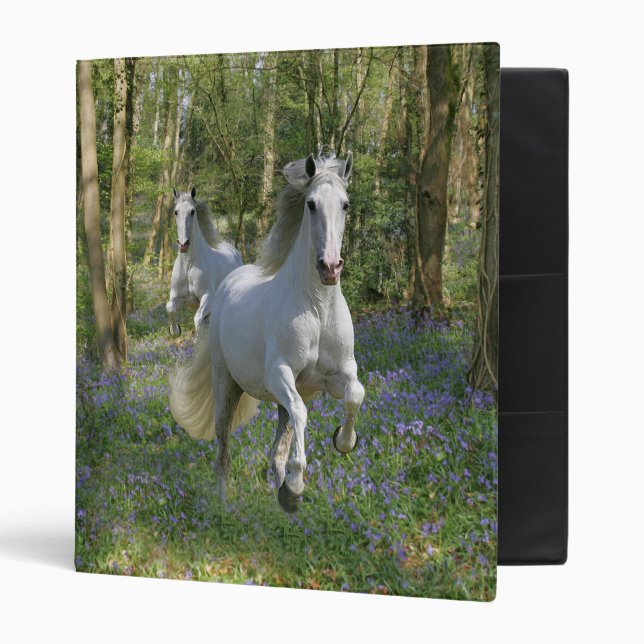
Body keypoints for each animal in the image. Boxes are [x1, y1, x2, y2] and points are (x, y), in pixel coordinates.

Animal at [166, 187, 242, 337]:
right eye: (176, 211)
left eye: (192, 211)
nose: (183, 244)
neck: (188, 265)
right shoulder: (178, 297)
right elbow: (170, 307)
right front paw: (175, 331)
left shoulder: (208, 297)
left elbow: (198, 320)